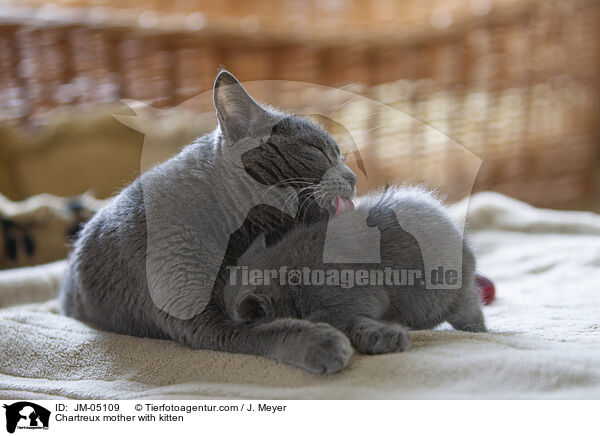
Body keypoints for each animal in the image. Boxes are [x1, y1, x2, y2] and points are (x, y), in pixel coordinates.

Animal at [59, 73, 360, 372]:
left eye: (341, 155)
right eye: (318, 150)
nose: (354, 177)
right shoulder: (200, 318)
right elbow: (266, 331)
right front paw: (322, 340)